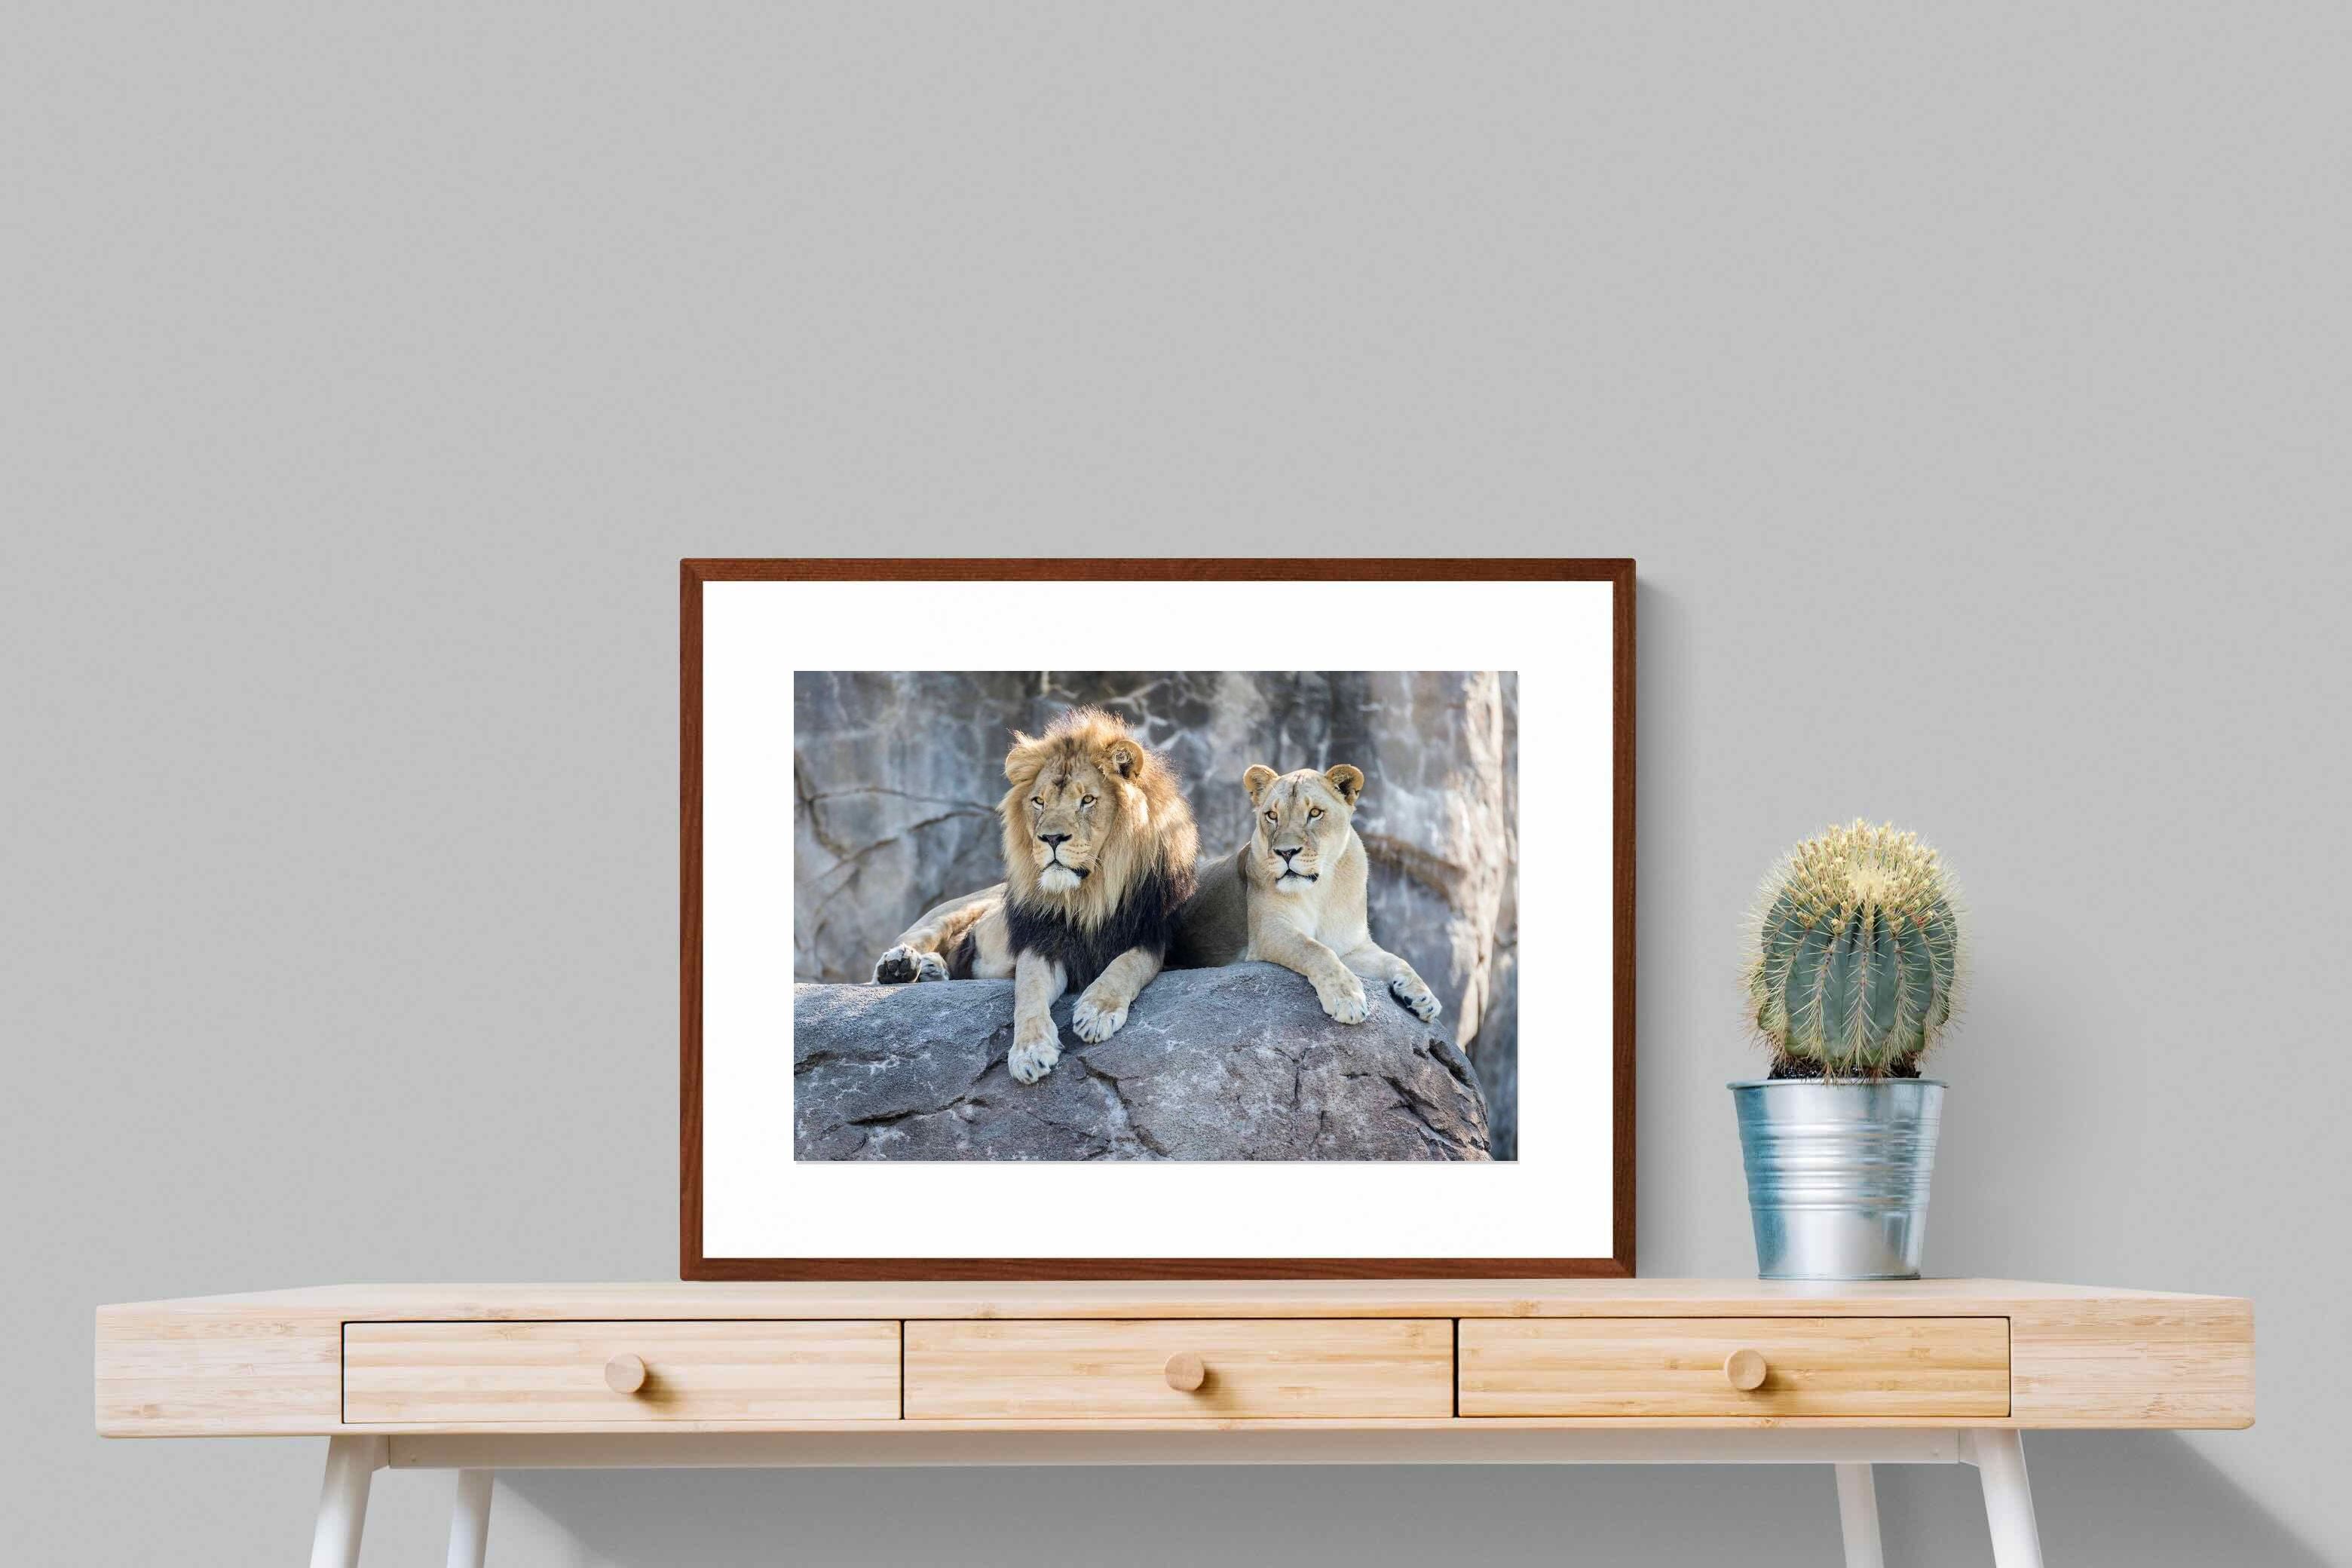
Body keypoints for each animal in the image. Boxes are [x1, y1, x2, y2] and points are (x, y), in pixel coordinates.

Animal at [871, 708, 1200, 1084]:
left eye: (1087, 800)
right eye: (1039, 801)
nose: (1051, 838)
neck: (1089, 895)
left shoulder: (1152, 936)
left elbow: (1127, 965)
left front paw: (1097, 1012)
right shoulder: (1041, 941)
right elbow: (1027, 992)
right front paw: (1029, 1052)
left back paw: (930, 970)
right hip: (952, 911)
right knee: (911, 941)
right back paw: (900, 966)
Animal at [1168, 763, 1442, 1026]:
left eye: (1315, 813)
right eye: (1272, 816)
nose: (1286, 852)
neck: (1321, 890)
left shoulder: (1351, 947)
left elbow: (1396, 960)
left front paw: (1423, 997)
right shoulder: (1269, 930)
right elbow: (1315, 950)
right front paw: (1347, 998)